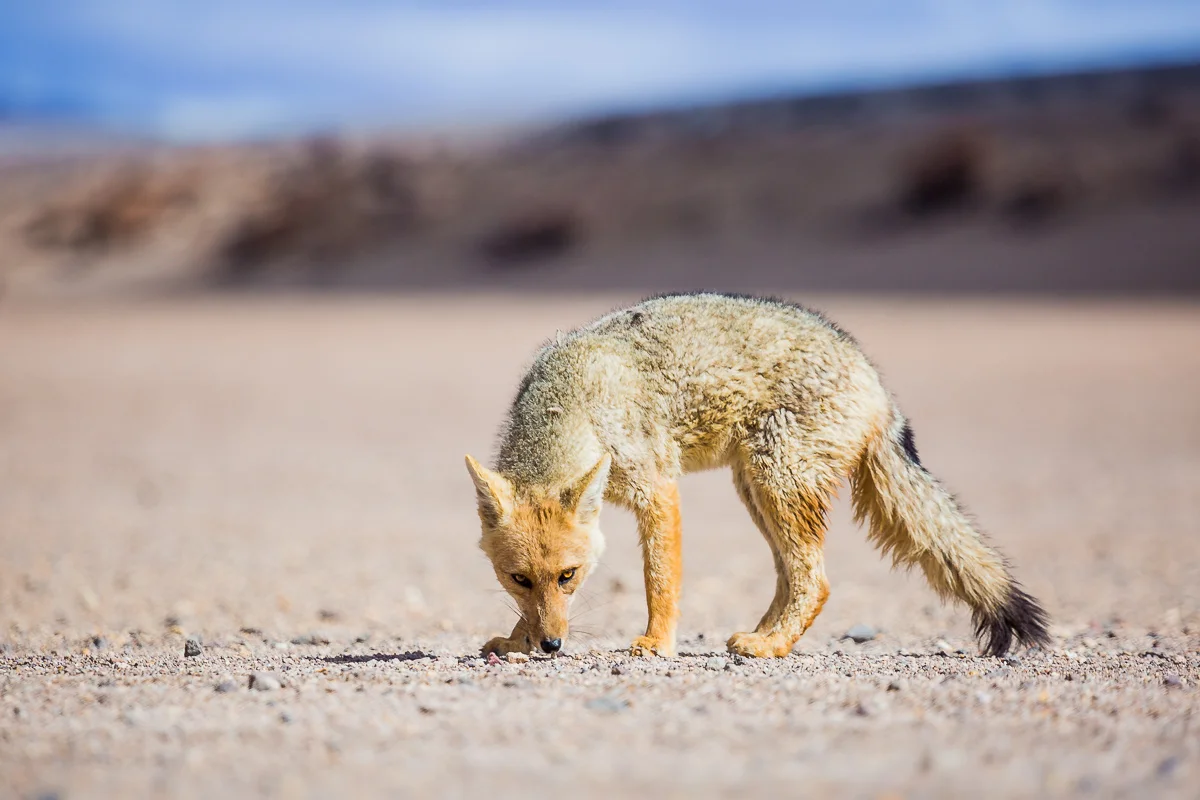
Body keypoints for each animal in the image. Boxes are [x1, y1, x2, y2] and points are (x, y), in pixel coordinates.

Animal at [465, 292, 1050, 659]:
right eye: (518, 579)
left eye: (569, 576)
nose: (552, 646)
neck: (571, 400)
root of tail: (875, 379)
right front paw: (518, 641)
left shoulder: (658, 489)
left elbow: (660, 580)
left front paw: (656, 643)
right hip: (757, 490)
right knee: (793, 576)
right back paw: (763, 636)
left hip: (777, 484)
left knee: (816, 580)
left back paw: (770, 646)